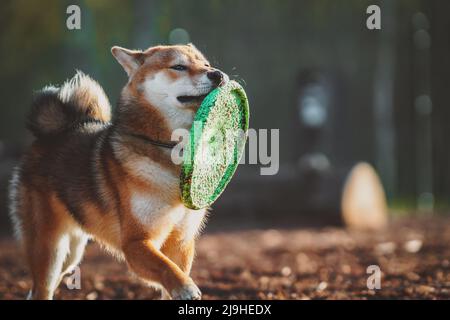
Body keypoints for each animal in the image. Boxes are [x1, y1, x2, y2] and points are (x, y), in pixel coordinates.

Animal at [8, 43, 229, 298]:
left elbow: (173, 271)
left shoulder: (181, 240)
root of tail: (49, 136)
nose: (217, 74)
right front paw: (186, 287)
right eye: (179, 67)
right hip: (51, 250)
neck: (171, 152)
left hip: (71, 254)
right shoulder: (135, 242)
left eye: (205, 64)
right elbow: (167, 268)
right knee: (42, 288)